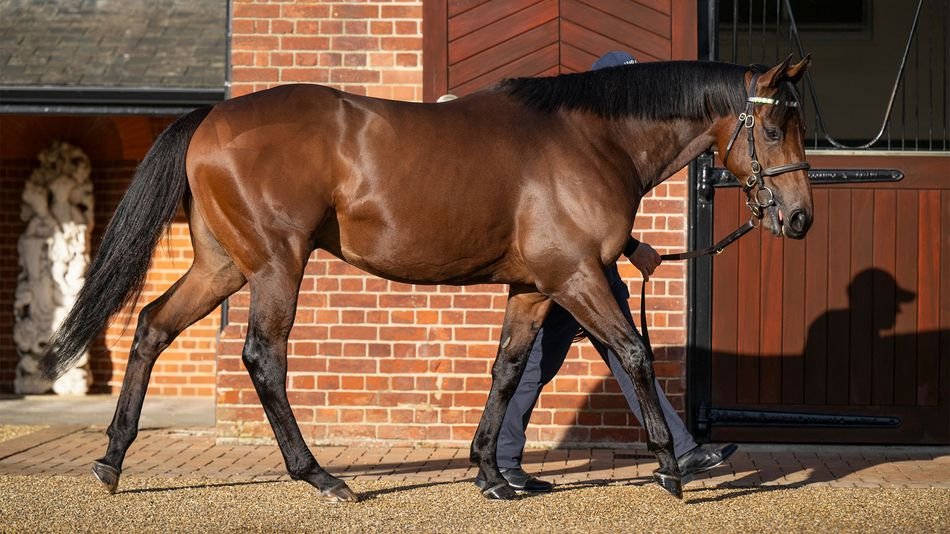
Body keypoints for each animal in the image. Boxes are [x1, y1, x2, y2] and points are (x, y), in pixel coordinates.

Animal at [42, 56, 813, 502]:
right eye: (776, 130)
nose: (800, 217)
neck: (588, 140)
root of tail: (213, 115)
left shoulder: (534, 288)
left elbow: (507, 373)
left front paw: (493, 475)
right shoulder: (577, 277)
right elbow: (633, 353)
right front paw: (671, 469)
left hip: (224, 264)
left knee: (152, 327)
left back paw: (112, 461)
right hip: (275, 266)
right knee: (262, 357)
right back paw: (321, 477)